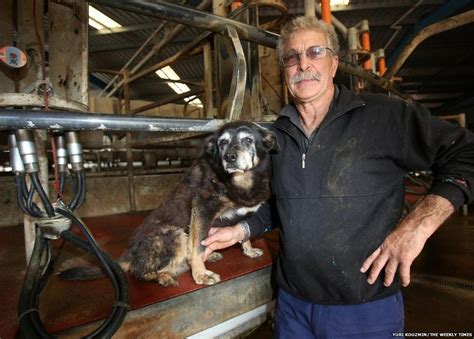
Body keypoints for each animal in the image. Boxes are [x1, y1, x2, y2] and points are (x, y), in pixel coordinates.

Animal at [60, 122, 280, 286]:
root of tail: (129, 253)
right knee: (141, 272)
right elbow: (198, 247)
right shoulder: (202, 209)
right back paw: (164, 277)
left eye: (248, 140)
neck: (242, 181)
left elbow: (244, 235)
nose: (229, 157)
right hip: (175, 235)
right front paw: (201, 275)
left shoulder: (244, 213)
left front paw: (248, 250)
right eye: (223, 143)